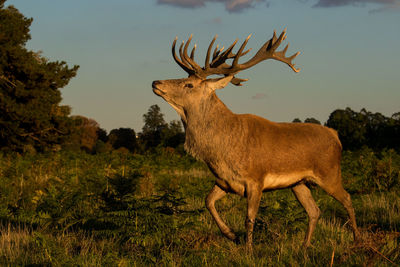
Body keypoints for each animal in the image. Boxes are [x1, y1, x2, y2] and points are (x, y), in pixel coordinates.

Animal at [152, 28, 360, 249]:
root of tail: (336, 136)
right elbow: (208, 201)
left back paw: (357, 240)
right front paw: (231, 235)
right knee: (314, 210)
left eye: (189, 84)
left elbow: (250, 218)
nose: (155, 82)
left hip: (329, 173)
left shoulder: (256, 180)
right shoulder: (224, 181)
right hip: (299, 183)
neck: (221, 151)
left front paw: (249, 249)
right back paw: (304, 246)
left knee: (347, 198)